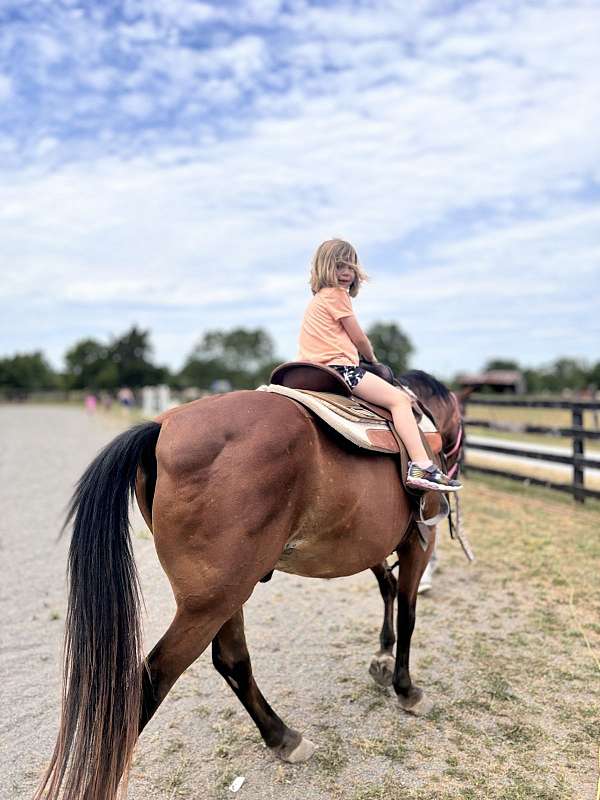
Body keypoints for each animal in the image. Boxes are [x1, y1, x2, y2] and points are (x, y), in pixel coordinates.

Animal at [35, 374, 462, 800]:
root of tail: (162, 427)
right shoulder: (417, 544)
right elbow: (408, 613)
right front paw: (406, 689)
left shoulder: (369, 544)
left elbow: (387, 588)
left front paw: (383, 656)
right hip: (211, 604)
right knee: (151, 681)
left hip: (227, 594)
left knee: (232, 660)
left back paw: (282, 737)